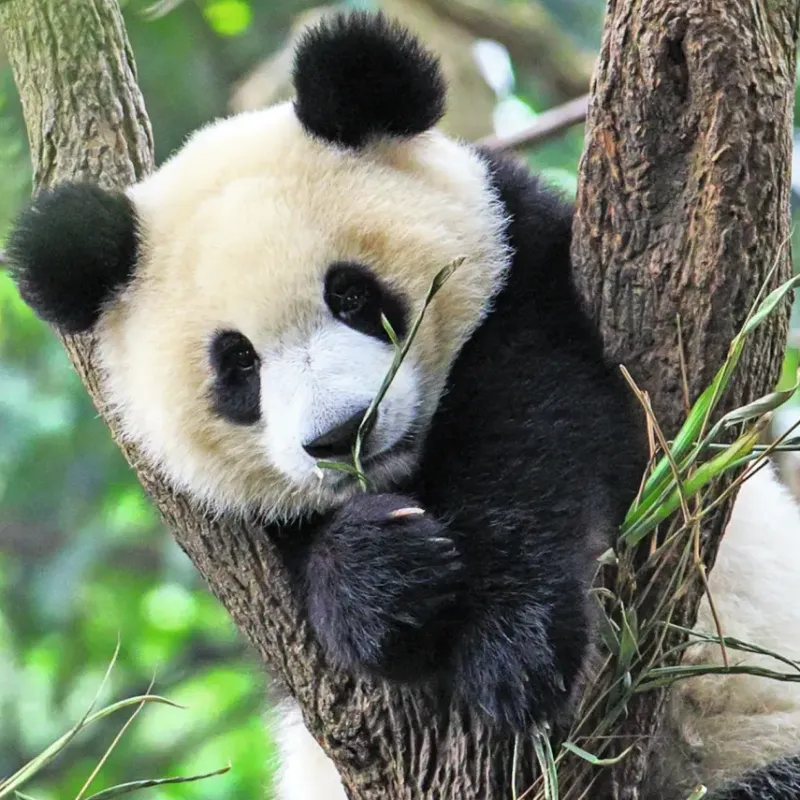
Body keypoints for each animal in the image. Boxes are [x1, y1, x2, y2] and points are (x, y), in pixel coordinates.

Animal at [5, 11, 800, 800]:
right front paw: (383, 574)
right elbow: (306, 590)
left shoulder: (530, 278)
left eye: (353, 295)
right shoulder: (239, 541)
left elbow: (545, 433)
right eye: (238, 363)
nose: (342, 434)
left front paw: (514, 649)